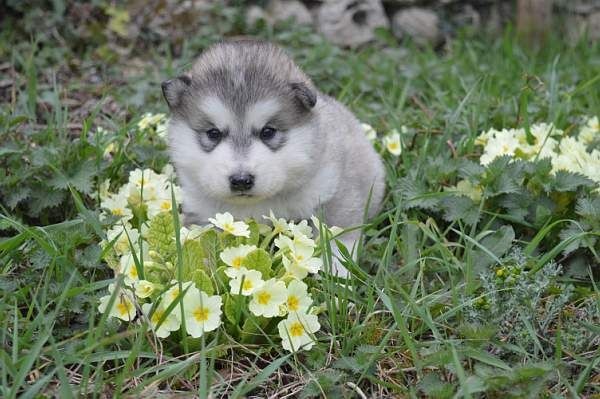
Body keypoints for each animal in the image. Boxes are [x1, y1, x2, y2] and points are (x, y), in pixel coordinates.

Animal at [161, 40, 384, 278]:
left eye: (268, 132)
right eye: (213, 133)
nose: (241, 180)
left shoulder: (334, 189)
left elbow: (338, 232)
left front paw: (336, 270)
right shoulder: (203, 214)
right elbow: (201, 243)